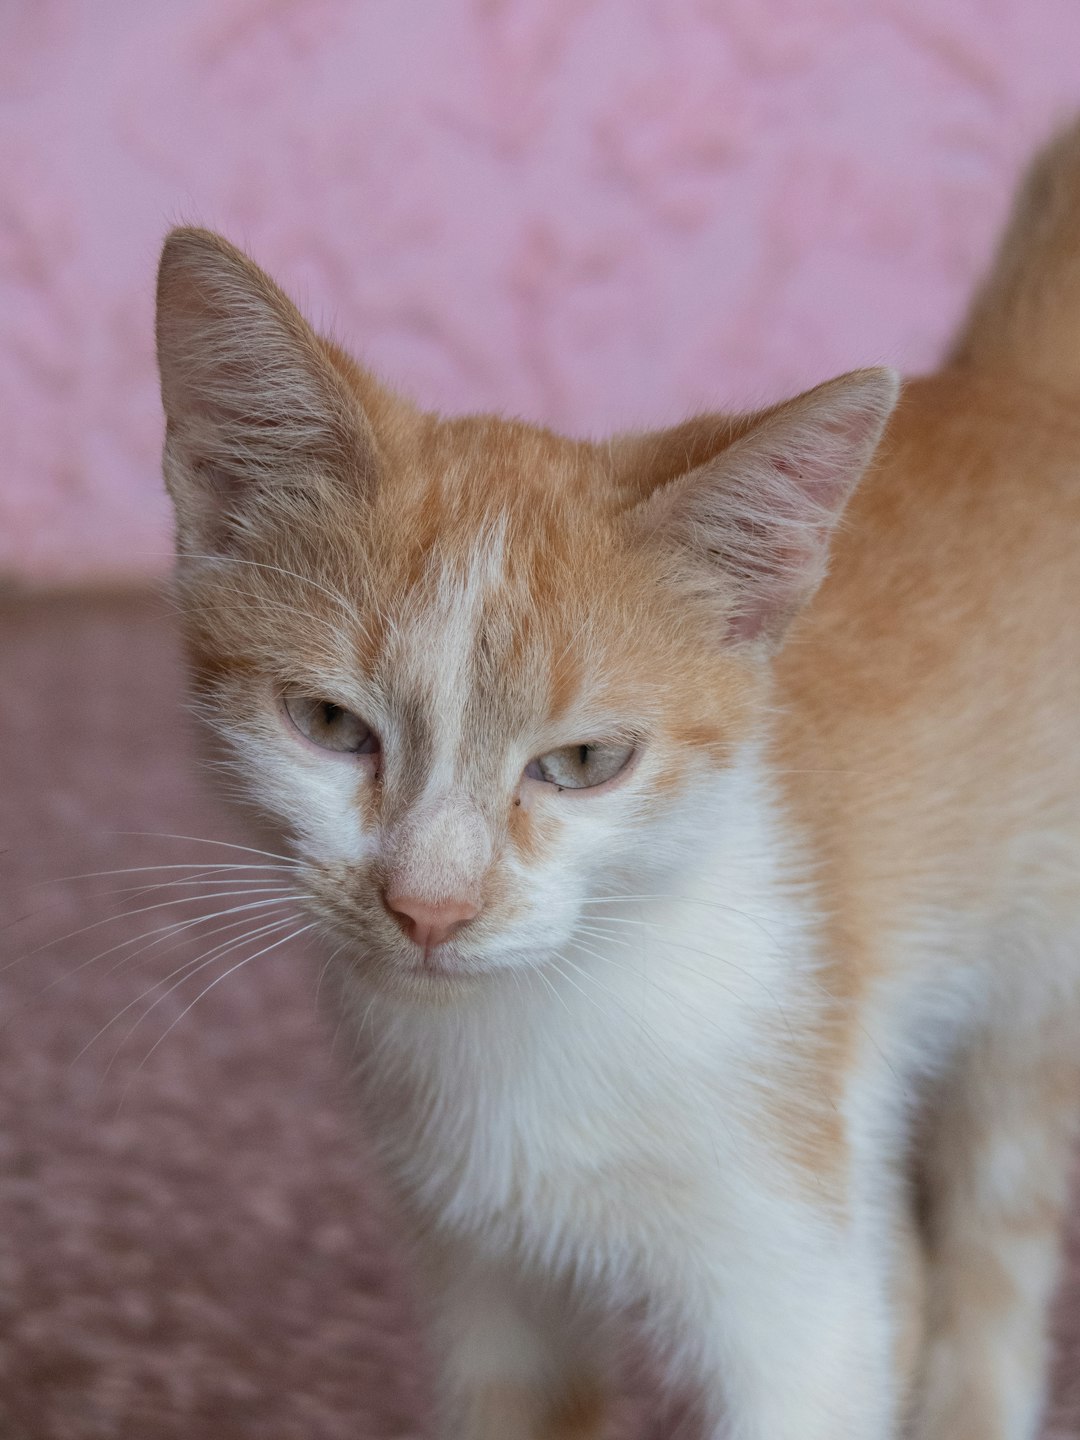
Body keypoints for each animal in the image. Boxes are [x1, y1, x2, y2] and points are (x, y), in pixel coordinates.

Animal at [156, 118, 1080, 1434]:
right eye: (330, 724)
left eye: (584, 763)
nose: (429, 907)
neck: (545, 1024)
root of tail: (1019, 393)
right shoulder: (483, 1279)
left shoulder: (798, 1290)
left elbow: (847, 1333)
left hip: (1026, 995)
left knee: (992, 1244)